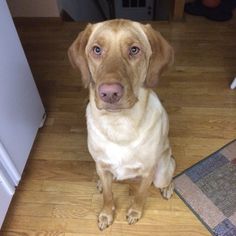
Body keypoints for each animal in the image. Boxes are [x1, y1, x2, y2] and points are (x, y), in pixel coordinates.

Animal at [68, 18, 175, 230]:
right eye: (97, 49)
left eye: (134, 49)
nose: (110, 93)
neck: (119, 125)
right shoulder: (102, 166)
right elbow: (108, 196)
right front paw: (106, 214)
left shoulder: (148, 171)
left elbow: (140, 196)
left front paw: (135, 212)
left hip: (161, 172)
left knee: (170, 173)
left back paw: (168, 187)